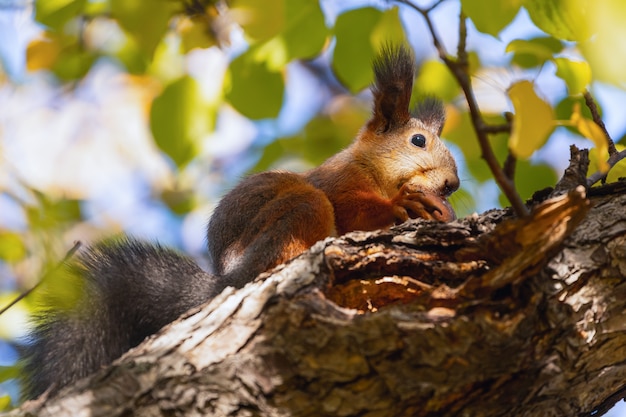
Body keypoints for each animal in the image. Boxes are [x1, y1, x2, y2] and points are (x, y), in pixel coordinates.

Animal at [19, 44, 458, 398]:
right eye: (418, 141)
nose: (452, 185)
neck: (374, 171)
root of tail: (226, 277)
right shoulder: (338, 183)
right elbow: (356, 211)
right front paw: (407, 204)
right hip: (300, 208)